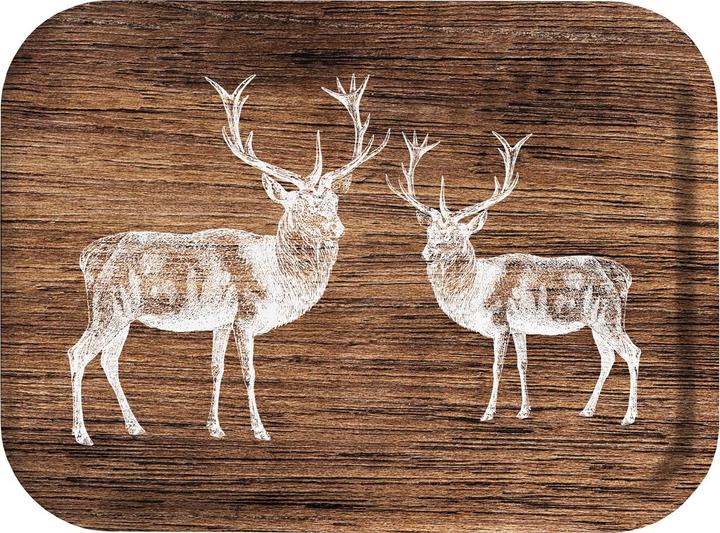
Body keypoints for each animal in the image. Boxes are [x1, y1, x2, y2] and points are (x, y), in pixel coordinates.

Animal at [68, 74, 389, 445]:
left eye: (335, 202)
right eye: (300, 205)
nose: (337, 228)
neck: (276, 275)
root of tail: (87, 255)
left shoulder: (221, 321)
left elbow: (216, 368)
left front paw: (215, 427)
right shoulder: (245, 317)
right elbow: (249, 372)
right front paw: (260, 430)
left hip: (122, 317)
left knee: (108, 360)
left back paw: (134, 426)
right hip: (108, 307)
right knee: (78, 353)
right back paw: (82, 434)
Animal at [386, 131, 640, 425]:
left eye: (456, 236)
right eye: (430, 234)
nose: (427, 253)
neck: (476, 291)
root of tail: (624, 275)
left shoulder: (501, 324)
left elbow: (497, 366)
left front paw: (488, 412)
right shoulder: (519, 327)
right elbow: (523, 363)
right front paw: (524, 410)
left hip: (608, 316)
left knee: (632, 352)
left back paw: (629, 416)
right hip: (597, 323)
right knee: (608, 357)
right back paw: (587, 409)